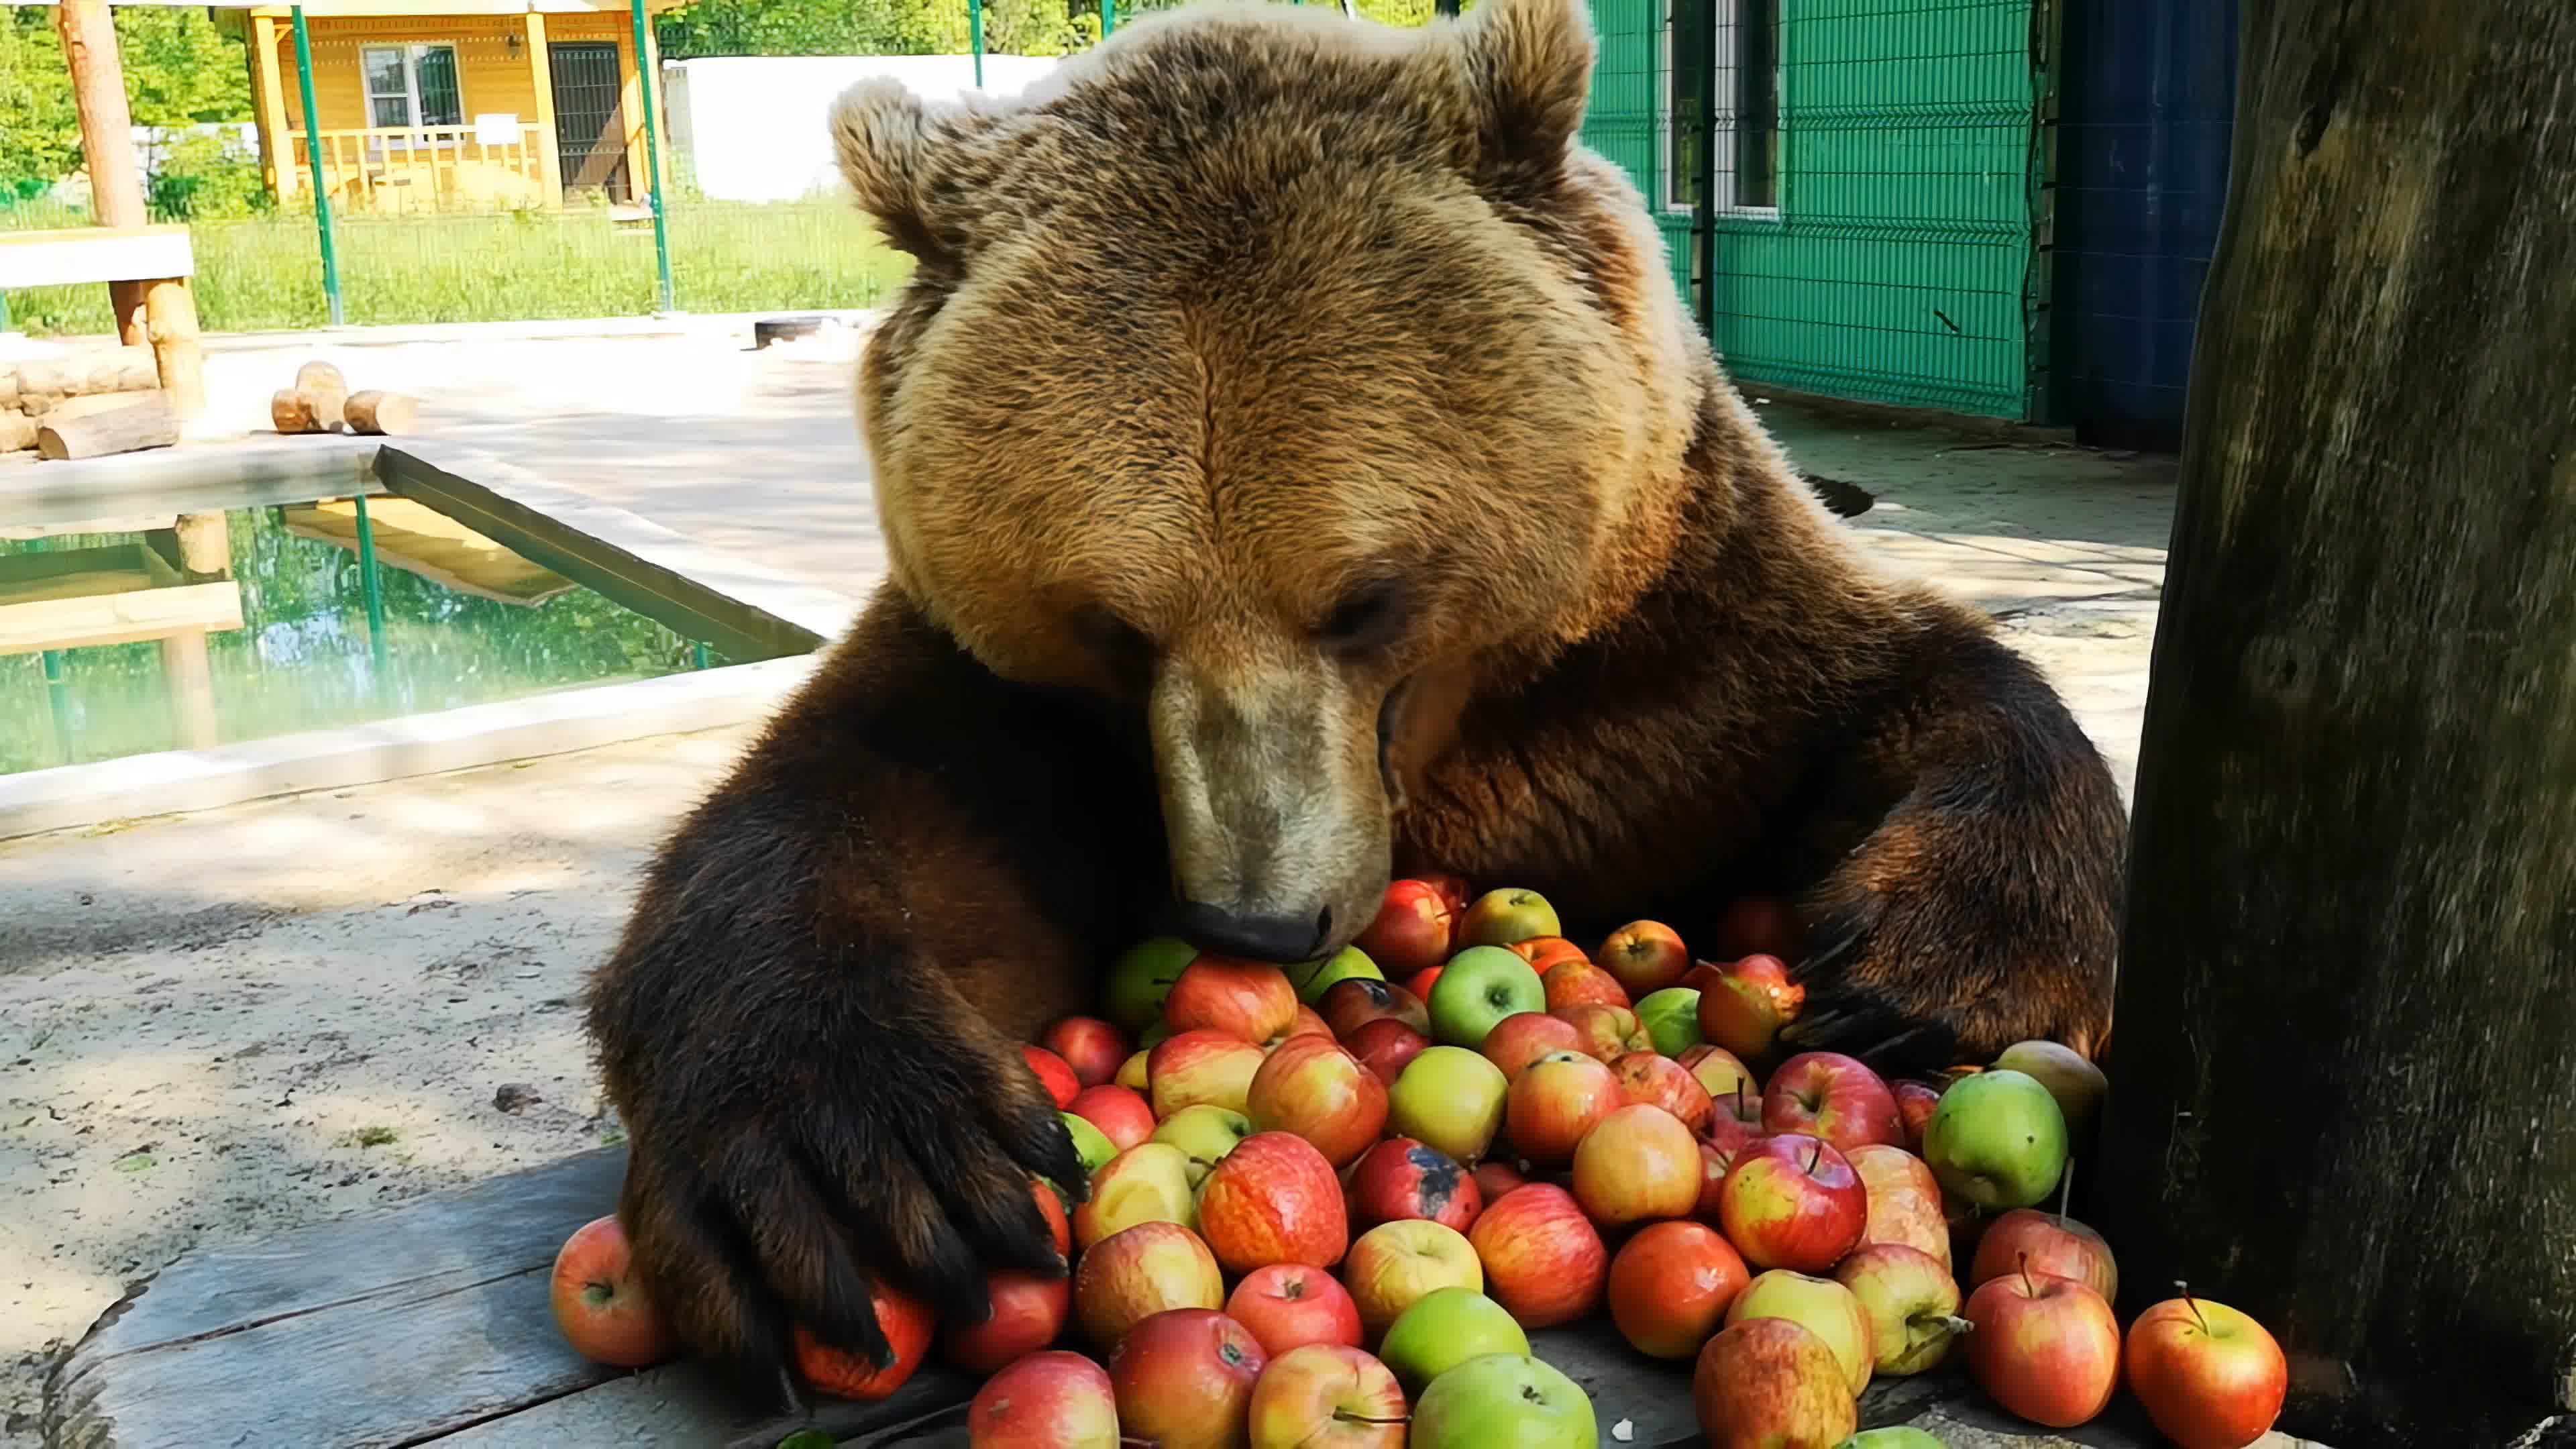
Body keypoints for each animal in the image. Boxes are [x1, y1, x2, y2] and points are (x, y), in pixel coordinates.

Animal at [580, 0, 2112, 1392]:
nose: (1254, 917)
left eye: (1366, 598)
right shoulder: (1011, 708)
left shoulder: (1688, 647)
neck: (1464, 729)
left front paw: (1921, 977)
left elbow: (1918, 694)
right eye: (1116, 626)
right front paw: (859, 1175)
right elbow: (855, 814)